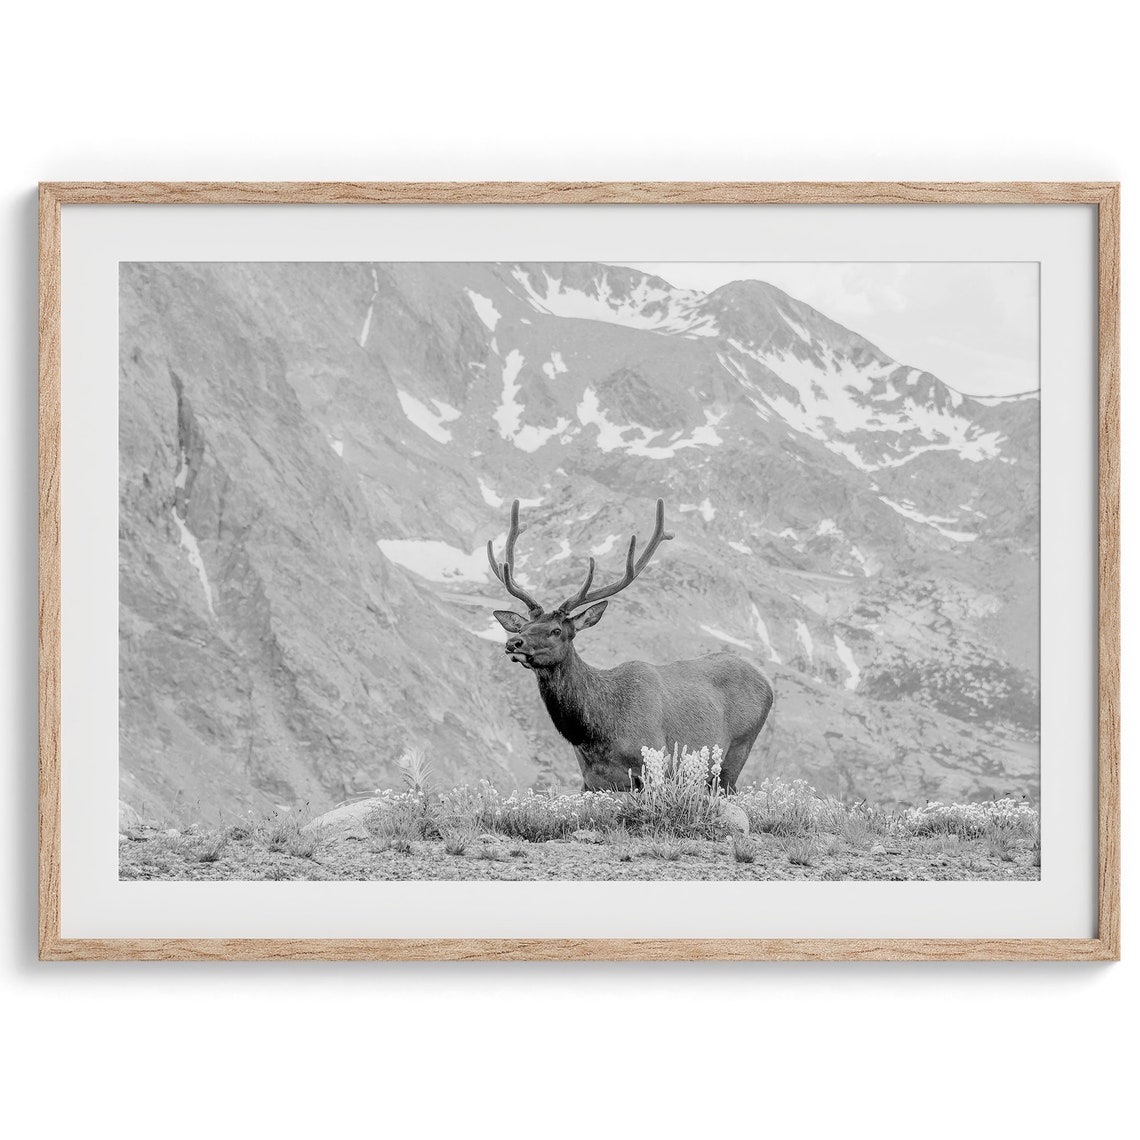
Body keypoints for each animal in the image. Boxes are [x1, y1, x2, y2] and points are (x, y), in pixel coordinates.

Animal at [488, 498, 774, 792]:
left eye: (556, 631)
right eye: (521, 628)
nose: (513, 643)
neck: (596, 735)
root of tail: (766, 681)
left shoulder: (655, 762)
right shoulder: (591, 781)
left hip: (738, 750)